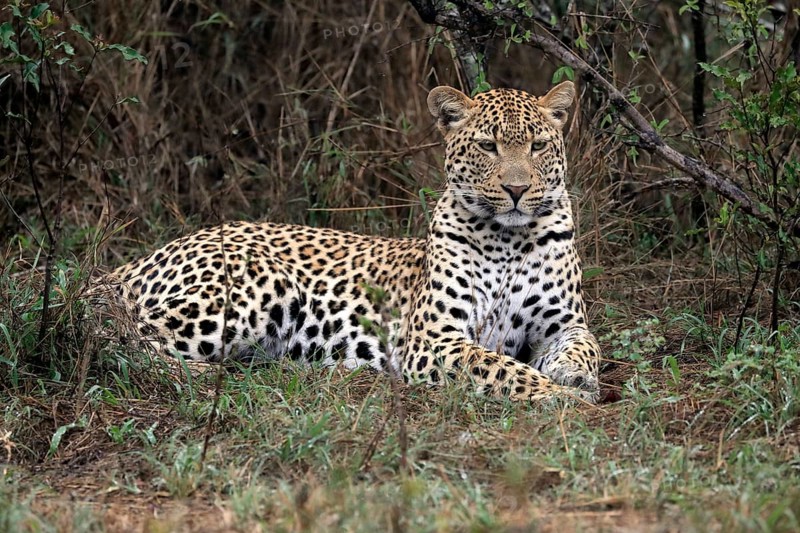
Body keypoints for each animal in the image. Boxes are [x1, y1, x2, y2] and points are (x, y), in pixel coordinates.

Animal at [104, 80, 601, 403]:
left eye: (537, 146)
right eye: (487, 146)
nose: (517, 189)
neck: (507, 239)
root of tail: (141, 259)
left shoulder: (564, 324)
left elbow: (586, 347)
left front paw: (576, 378)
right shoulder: (435, 337)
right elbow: (499, 367)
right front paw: (555, 393)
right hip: (256, 283)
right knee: (127, 340)